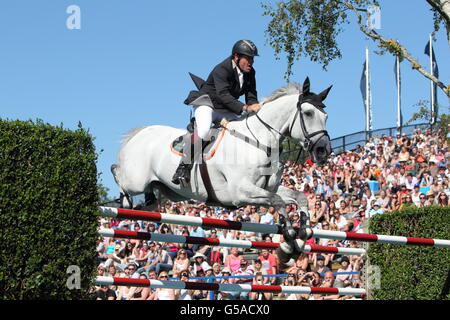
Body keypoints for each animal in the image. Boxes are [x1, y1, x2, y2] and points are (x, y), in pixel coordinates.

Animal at [111, 77, 332, 264]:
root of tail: (140, 133)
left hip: (168, 193)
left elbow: (299, 197)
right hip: (136, 180)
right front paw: (289, 238)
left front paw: (302, 236)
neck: (259, 141)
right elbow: (277, 201)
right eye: (308, 113)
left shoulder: (268, 188)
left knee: (149, 199)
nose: (323, 151)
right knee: (118, 174)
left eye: (326, 115)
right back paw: (124, 202)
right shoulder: (241, 193)